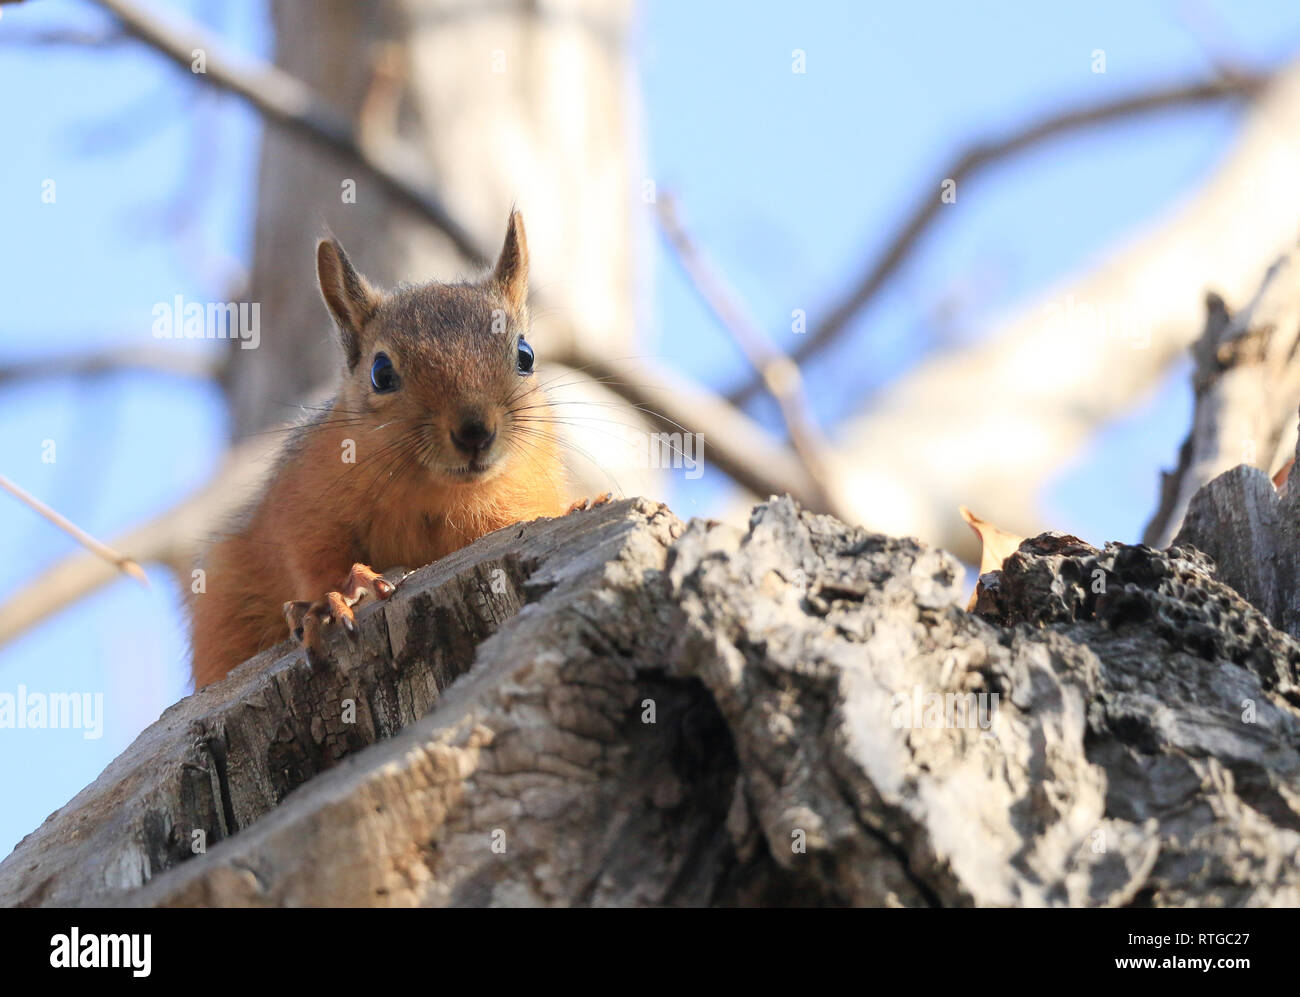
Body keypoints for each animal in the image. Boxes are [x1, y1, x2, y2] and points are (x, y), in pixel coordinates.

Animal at [189, 211, 605, 689]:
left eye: (526, 354)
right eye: (380, 372)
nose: (474, 431)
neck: (435, 493)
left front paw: (584, 504)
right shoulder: (300, 506)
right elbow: (309, 558)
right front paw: (336, 595)